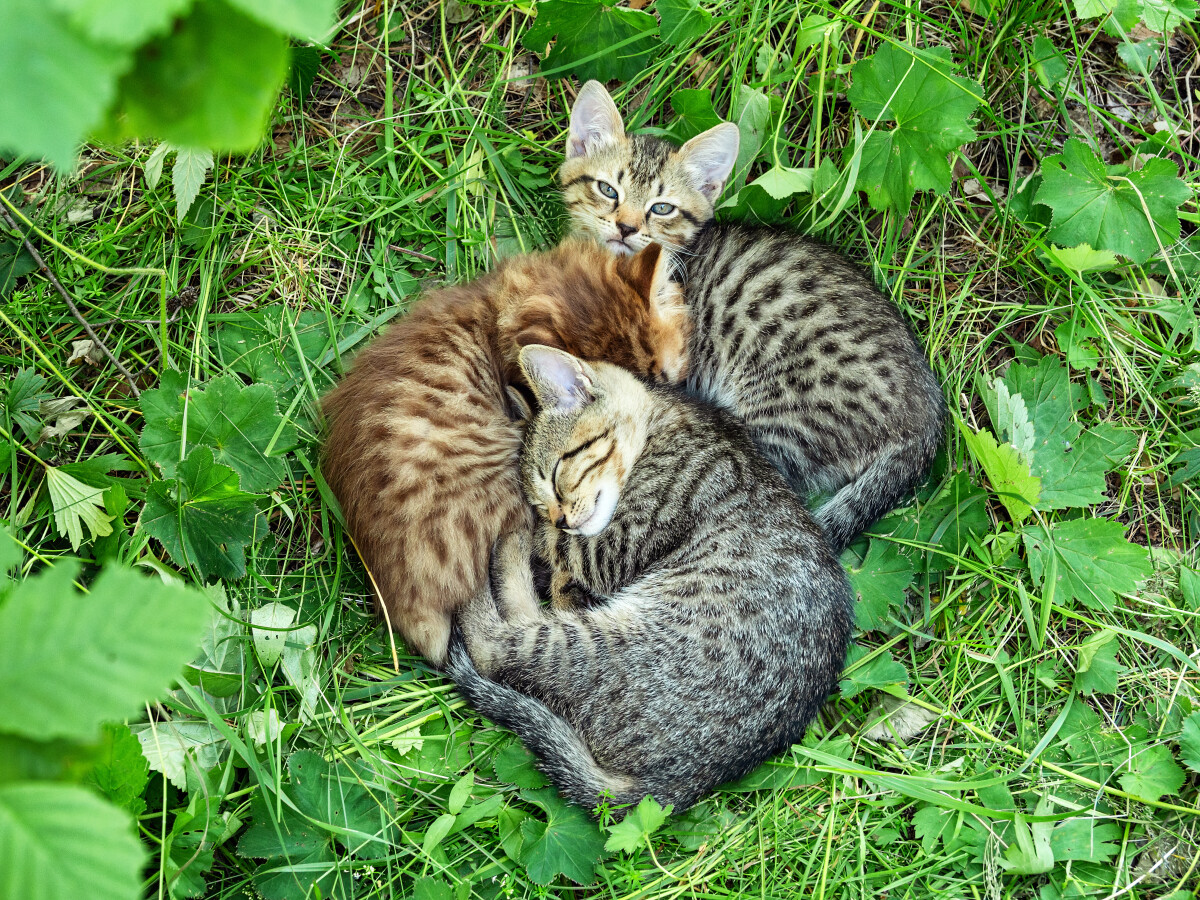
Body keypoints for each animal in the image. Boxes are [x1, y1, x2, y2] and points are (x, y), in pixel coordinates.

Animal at [448, 348, 854, 816]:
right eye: (540, 499)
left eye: (555, 475)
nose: (560, 517)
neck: (661, 418)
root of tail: (685, 781)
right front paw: (557, 570)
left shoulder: (615, 546)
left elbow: (554, 543)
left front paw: (527, 531)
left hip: (595, 645)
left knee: (492, 648)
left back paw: (484, 570)